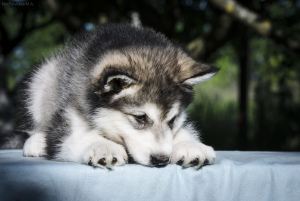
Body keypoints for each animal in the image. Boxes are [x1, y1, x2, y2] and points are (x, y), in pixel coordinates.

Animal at [20, 24, 218, 169]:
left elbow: (186, 130)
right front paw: (103, 146)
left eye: (173, 120)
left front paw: (190, 145)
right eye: (140, 117)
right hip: (42, 79)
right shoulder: (70, 109)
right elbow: (74, 136)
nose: (161, 159)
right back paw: (36, 142)